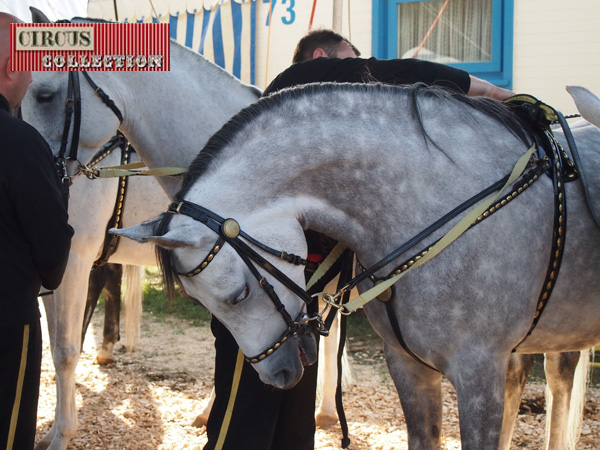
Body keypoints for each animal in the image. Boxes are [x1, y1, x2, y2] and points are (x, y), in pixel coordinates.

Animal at [113, 84, 600, 450]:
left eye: (239, 295)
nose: (278, 375)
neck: (433, 203)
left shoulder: (479, 372)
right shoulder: (410, 369)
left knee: (559, 384)